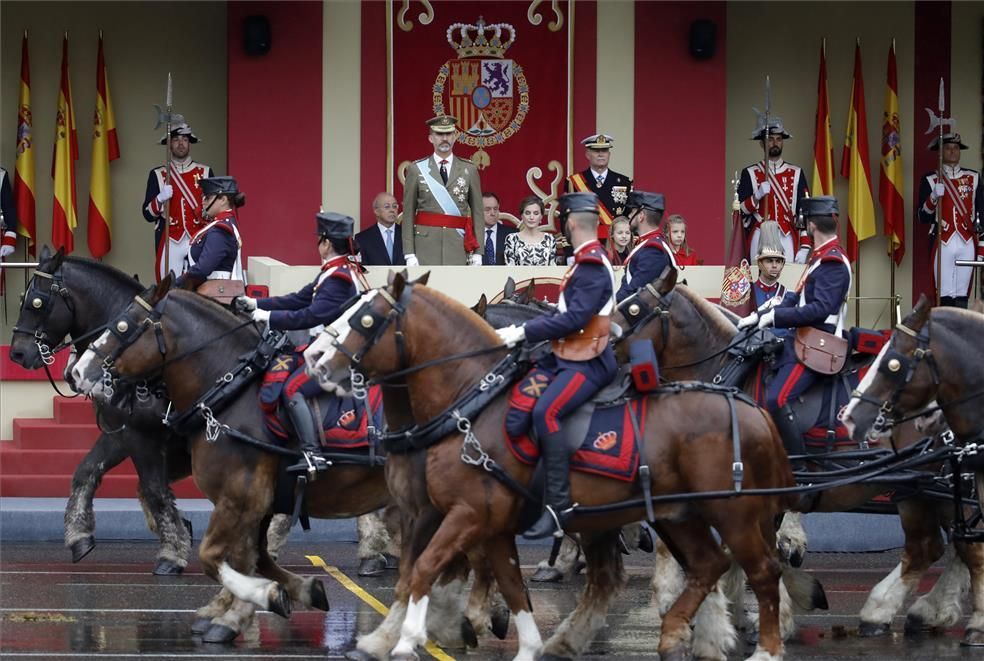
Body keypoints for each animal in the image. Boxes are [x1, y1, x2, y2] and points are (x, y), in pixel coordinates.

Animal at [69, 276, 512, 648]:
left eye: (124, 326)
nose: (78, 371)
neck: (232, 390)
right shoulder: (257, 501)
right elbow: (252, 557)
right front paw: (286, 594)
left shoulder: (241, 494)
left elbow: (218, 556)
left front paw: (240, 610)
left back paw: (474, 616)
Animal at [306, 270, 800, 660]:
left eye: (365, 319)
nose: (314, 359)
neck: (472, 402)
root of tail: (750, 408)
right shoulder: (475, 520)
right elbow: (501, 582)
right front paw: (518, 641)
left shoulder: (467, 515)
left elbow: (426, 569)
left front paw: (410, 638)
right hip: (680, 515)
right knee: (706, 565)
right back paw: (673, 633)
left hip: (732, 513)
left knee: (760, 570)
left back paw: (762, 646)